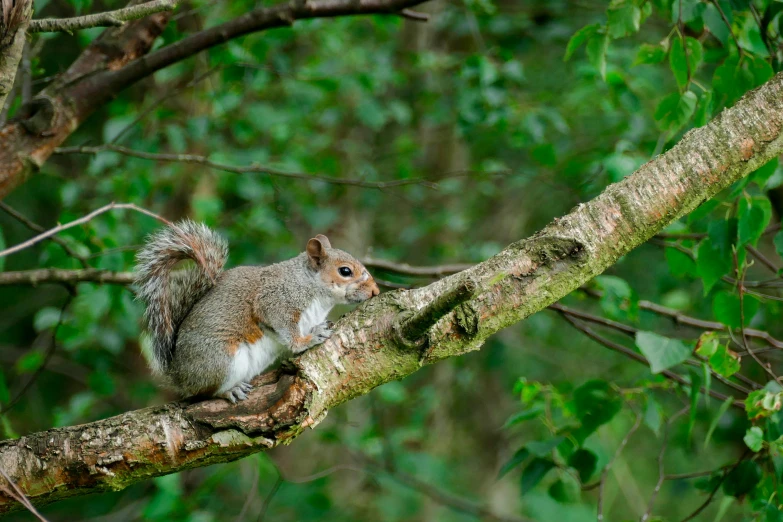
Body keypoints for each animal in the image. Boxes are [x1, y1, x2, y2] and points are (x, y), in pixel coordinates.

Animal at [136, 219, 382, 402]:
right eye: (345, 271)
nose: (375, 291)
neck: (312, 287)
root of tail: (177, 374)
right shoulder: (275, 301)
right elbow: (287, 331)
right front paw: (307, 341)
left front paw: (317, 329)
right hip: (220, 360)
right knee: (204, 392)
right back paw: (229, 390)